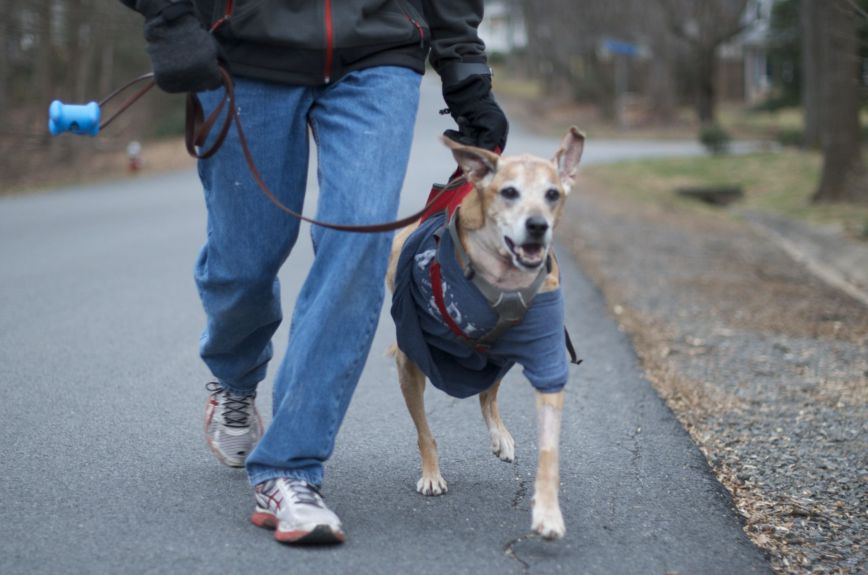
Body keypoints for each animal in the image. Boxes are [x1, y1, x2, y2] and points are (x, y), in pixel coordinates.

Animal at [390, 127, 588, 540]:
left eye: (553, 194)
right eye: (509, 191)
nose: (537, 226)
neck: (502, 281)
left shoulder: (545, 359)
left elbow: (549, 448)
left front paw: (548, 512)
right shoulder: (408, 357)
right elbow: (424, 431)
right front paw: (431, 474)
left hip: (500, 356)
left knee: (488, 391)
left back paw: (500, 435)